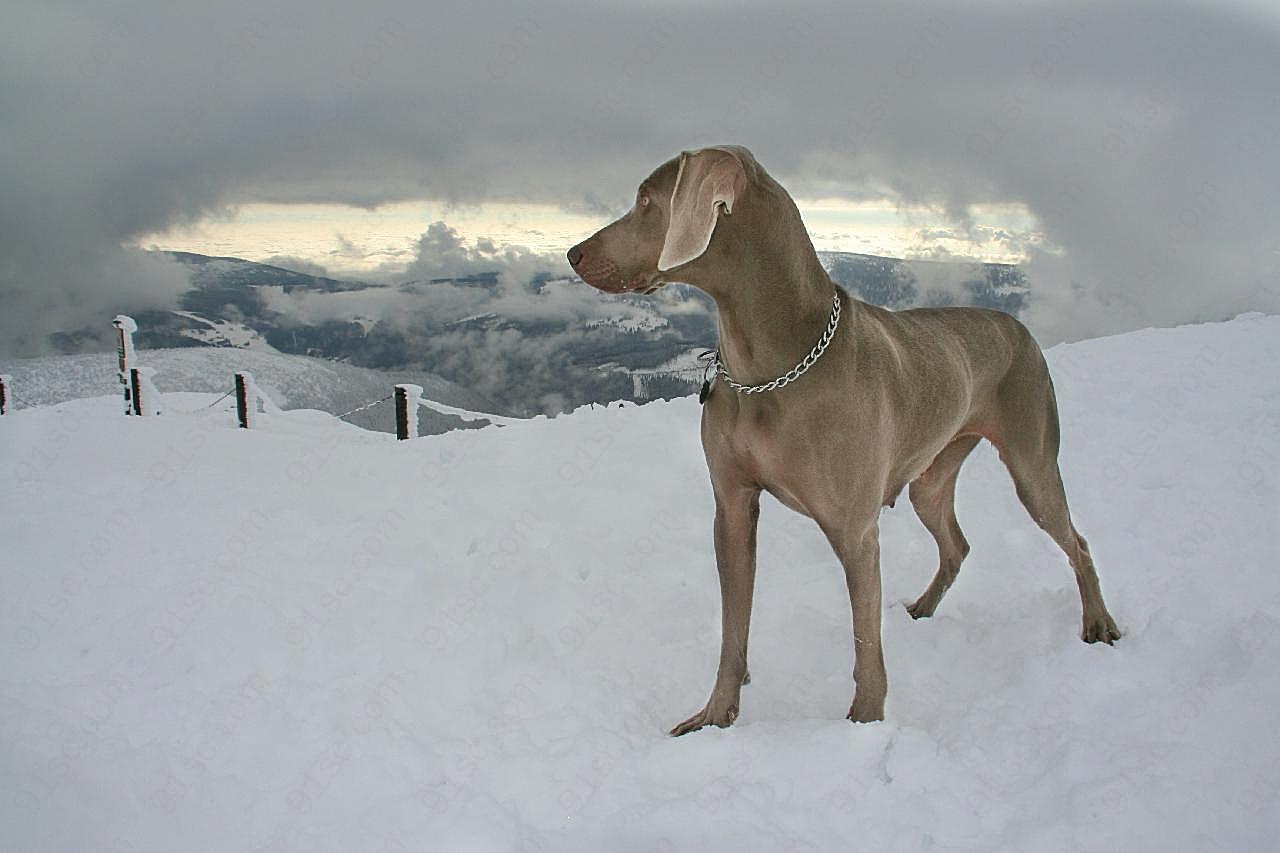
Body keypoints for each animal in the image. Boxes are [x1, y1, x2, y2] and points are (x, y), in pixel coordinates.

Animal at [565, 144, 1116, 732]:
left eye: (647, 201)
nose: (573, 253)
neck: (774, 361)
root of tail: (1020, 326)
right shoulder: (732, 507)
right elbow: (733, 627)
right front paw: (715, 716)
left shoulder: (855, 531)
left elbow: (865, 640)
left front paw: (864, 725)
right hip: (930, 475)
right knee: (956, 542)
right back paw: (924, 607)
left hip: (1032, 460)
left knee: (1075, 540)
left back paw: (1099, 623)